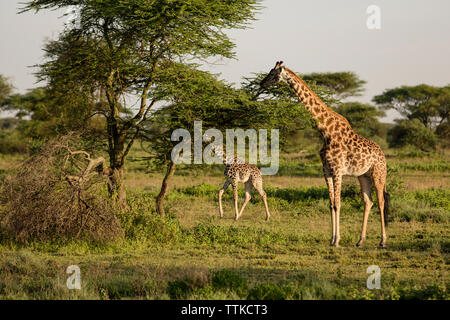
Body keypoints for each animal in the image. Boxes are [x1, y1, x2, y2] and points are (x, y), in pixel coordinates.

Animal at [262, 62, 388, 248]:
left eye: (272, 74)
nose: (261, 83)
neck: (325, 131)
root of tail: (383, 156)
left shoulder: (337, 170)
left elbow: (338, 203)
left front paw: (337, 240)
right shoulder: (326, 170)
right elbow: (331, 204)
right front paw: (332, 239)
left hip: (378, 174)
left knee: (381, 202)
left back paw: (382, 241)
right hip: (363, 175)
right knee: (368, 202)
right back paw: (360, 240)